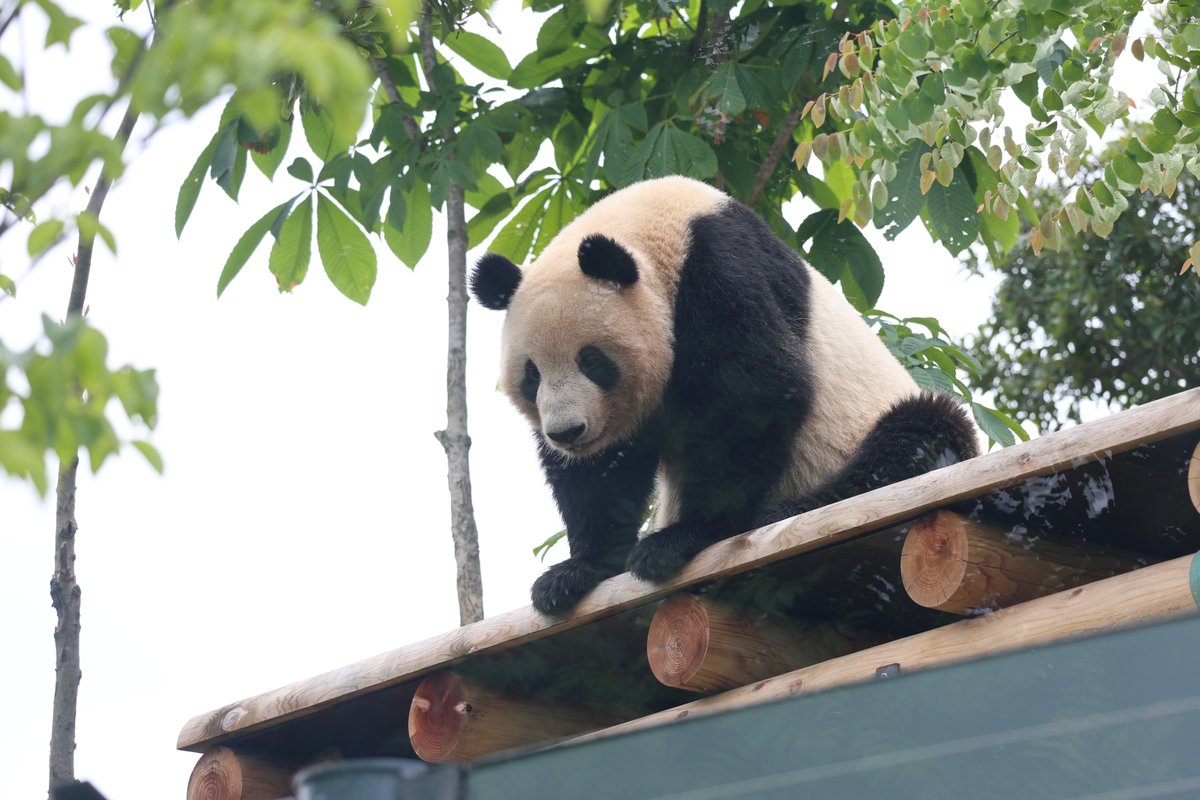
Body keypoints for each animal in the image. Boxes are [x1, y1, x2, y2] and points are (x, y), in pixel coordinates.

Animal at [468, 175, 974, 618]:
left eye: (591, 360)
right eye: (531, 375)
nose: (567, 432)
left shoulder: (719, 268)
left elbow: (755, 394)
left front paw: (679, 539)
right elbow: (605, 470)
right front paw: (574, 573)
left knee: (917, 433)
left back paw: (784, 510)